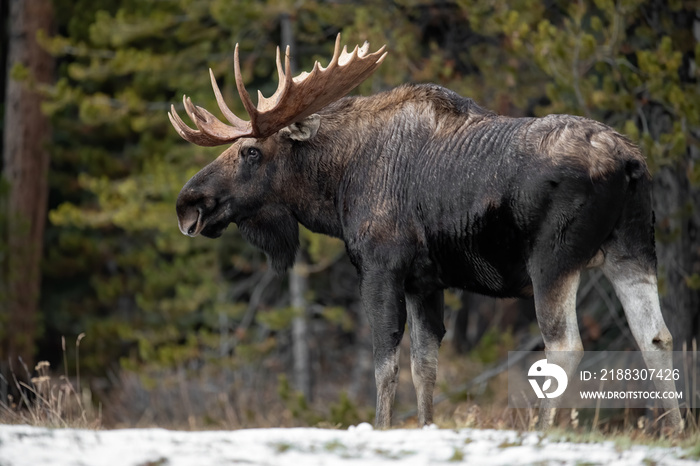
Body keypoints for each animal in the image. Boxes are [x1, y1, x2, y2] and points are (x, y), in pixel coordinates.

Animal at [171, 34, 684, 432]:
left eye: (251, 152)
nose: (188, 204)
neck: (337, 186)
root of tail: (629, 163)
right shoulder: (425, 280)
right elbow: (425, 367)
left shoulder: (380, 266)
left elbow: (385, 365)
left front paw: (381, 427)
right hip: (633, 250)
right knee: (656, 336)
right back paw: (678, 432)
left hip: (553, 260)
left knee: (566, 346)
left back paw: (544, 432)